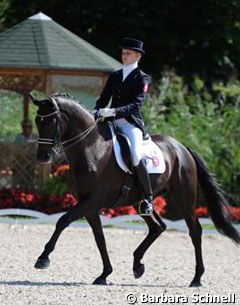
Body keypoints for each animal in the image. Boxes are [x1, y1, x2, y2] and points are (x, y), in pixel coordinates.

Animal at [29, 92, 239, 284]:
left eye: (52, 121)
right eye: (38, 121)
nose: (42, 157)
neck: (91, 149)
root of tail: (182, 148)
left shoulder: (92, 201)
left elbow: (62, 221)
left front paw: (43, 259)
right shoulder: (89, 205)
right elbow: (100, 238)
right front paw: (104, 274)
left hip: (183, 197)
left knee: (195, 231)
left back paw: (196, 278)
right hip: (140, 201)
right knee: (158, 227)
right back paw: (138, 265)